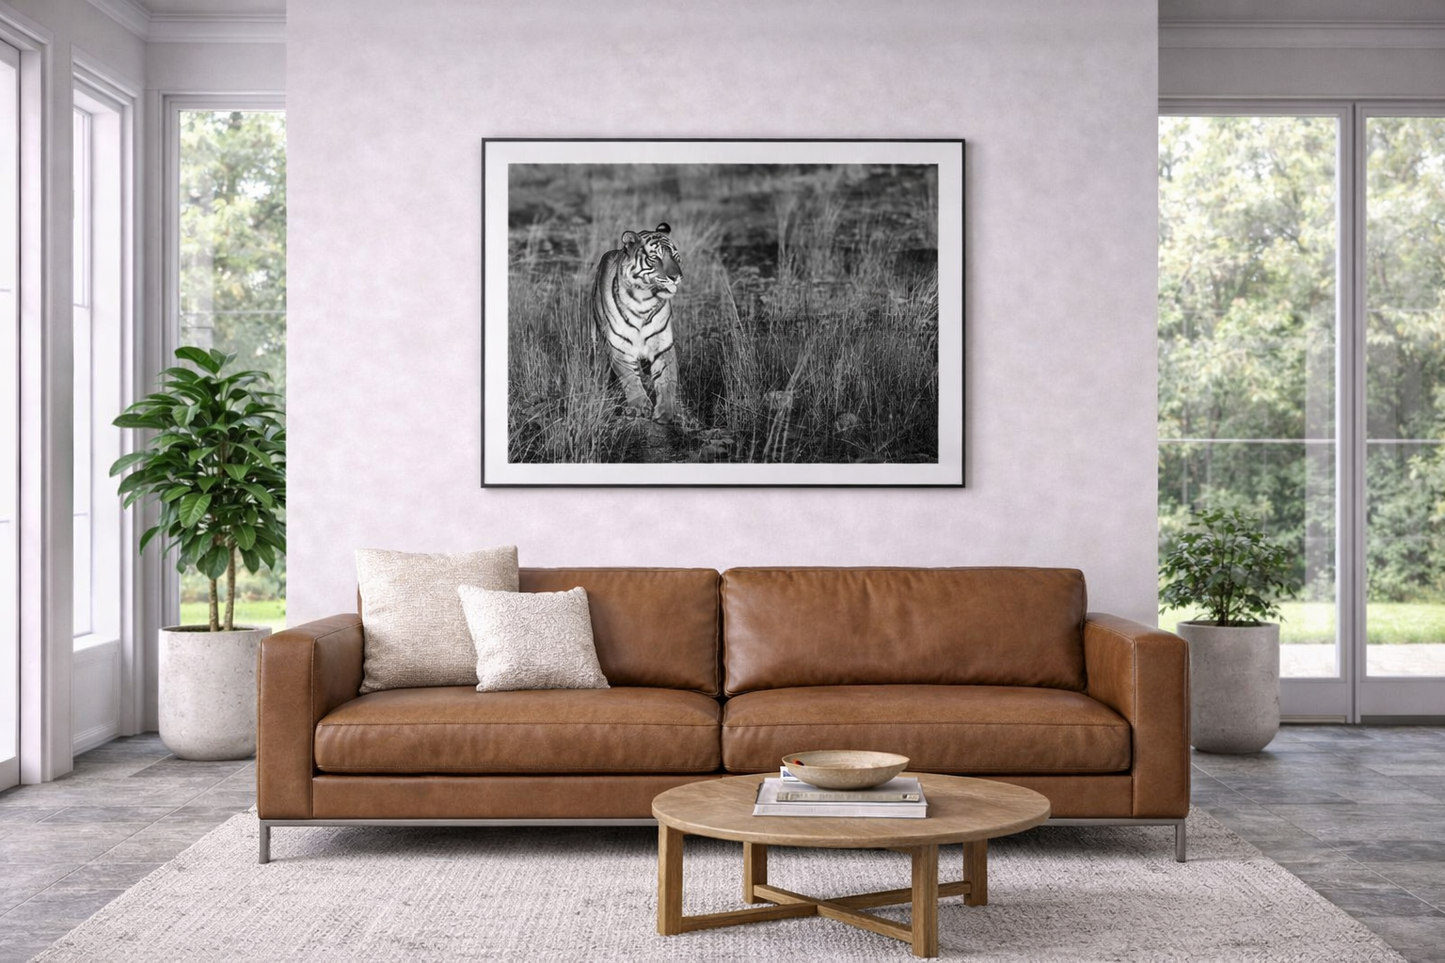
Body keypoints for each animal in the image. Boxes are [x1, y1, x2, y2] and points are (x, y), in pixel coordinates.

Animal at [590, 222, 685, 424]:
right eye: (655, 258)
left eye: (674, 256)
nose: (676, 277)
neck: (644, 300)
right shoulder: (619, 346)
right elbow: (629, 378)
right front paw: (640, 407)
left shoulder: (663, 345)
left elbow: (667, 378)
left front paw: (665, 412)